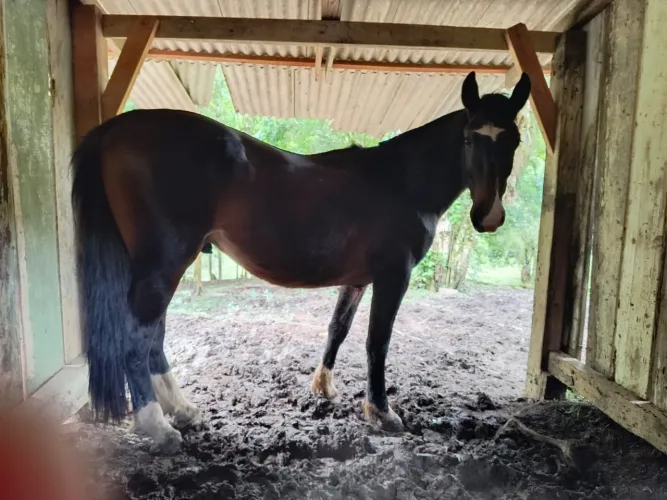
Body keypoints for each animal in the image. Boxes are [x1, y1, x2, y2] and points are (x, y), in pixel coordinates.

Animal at [71, 71, 531, 454]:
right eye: (470, 139)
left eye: (514, 141)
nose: (488, 216)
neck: (402, 183)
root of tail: (114, 130)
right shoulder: (393, 276)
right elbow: (377, 342)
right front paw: (382, 413)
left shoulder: (357, 280)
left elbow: (338, 329)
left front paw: (324, 388)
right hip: (163, 266)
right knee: (137, 339)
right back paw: (158, 428)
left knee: (154, 339)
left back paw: (183, 411)